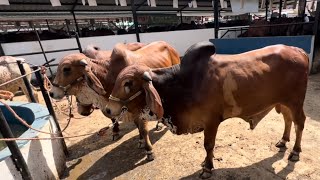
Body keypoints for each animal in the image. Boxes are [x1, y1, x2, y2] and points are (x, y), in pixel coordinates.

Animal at [50, 41, 180, 160]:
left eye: (66, 69)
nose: (51, 93)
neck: (108, 74)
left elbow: (143, 129)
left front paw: (149, 150)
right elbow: (132, 125)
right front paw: (139, 140)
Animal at [106, 41, 308, 178]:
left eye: (128, 83)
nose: (108, 109)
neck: (183, 83)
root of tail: (299, 51)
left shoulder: (211, 121)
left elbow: (208, 145)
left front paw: (207, 167)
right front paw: (205, 163)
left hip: (296, 102)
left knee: (299, 123)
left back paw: (295, 152)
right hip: (283, 102)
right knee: (288, 119)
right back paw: (283, 141)